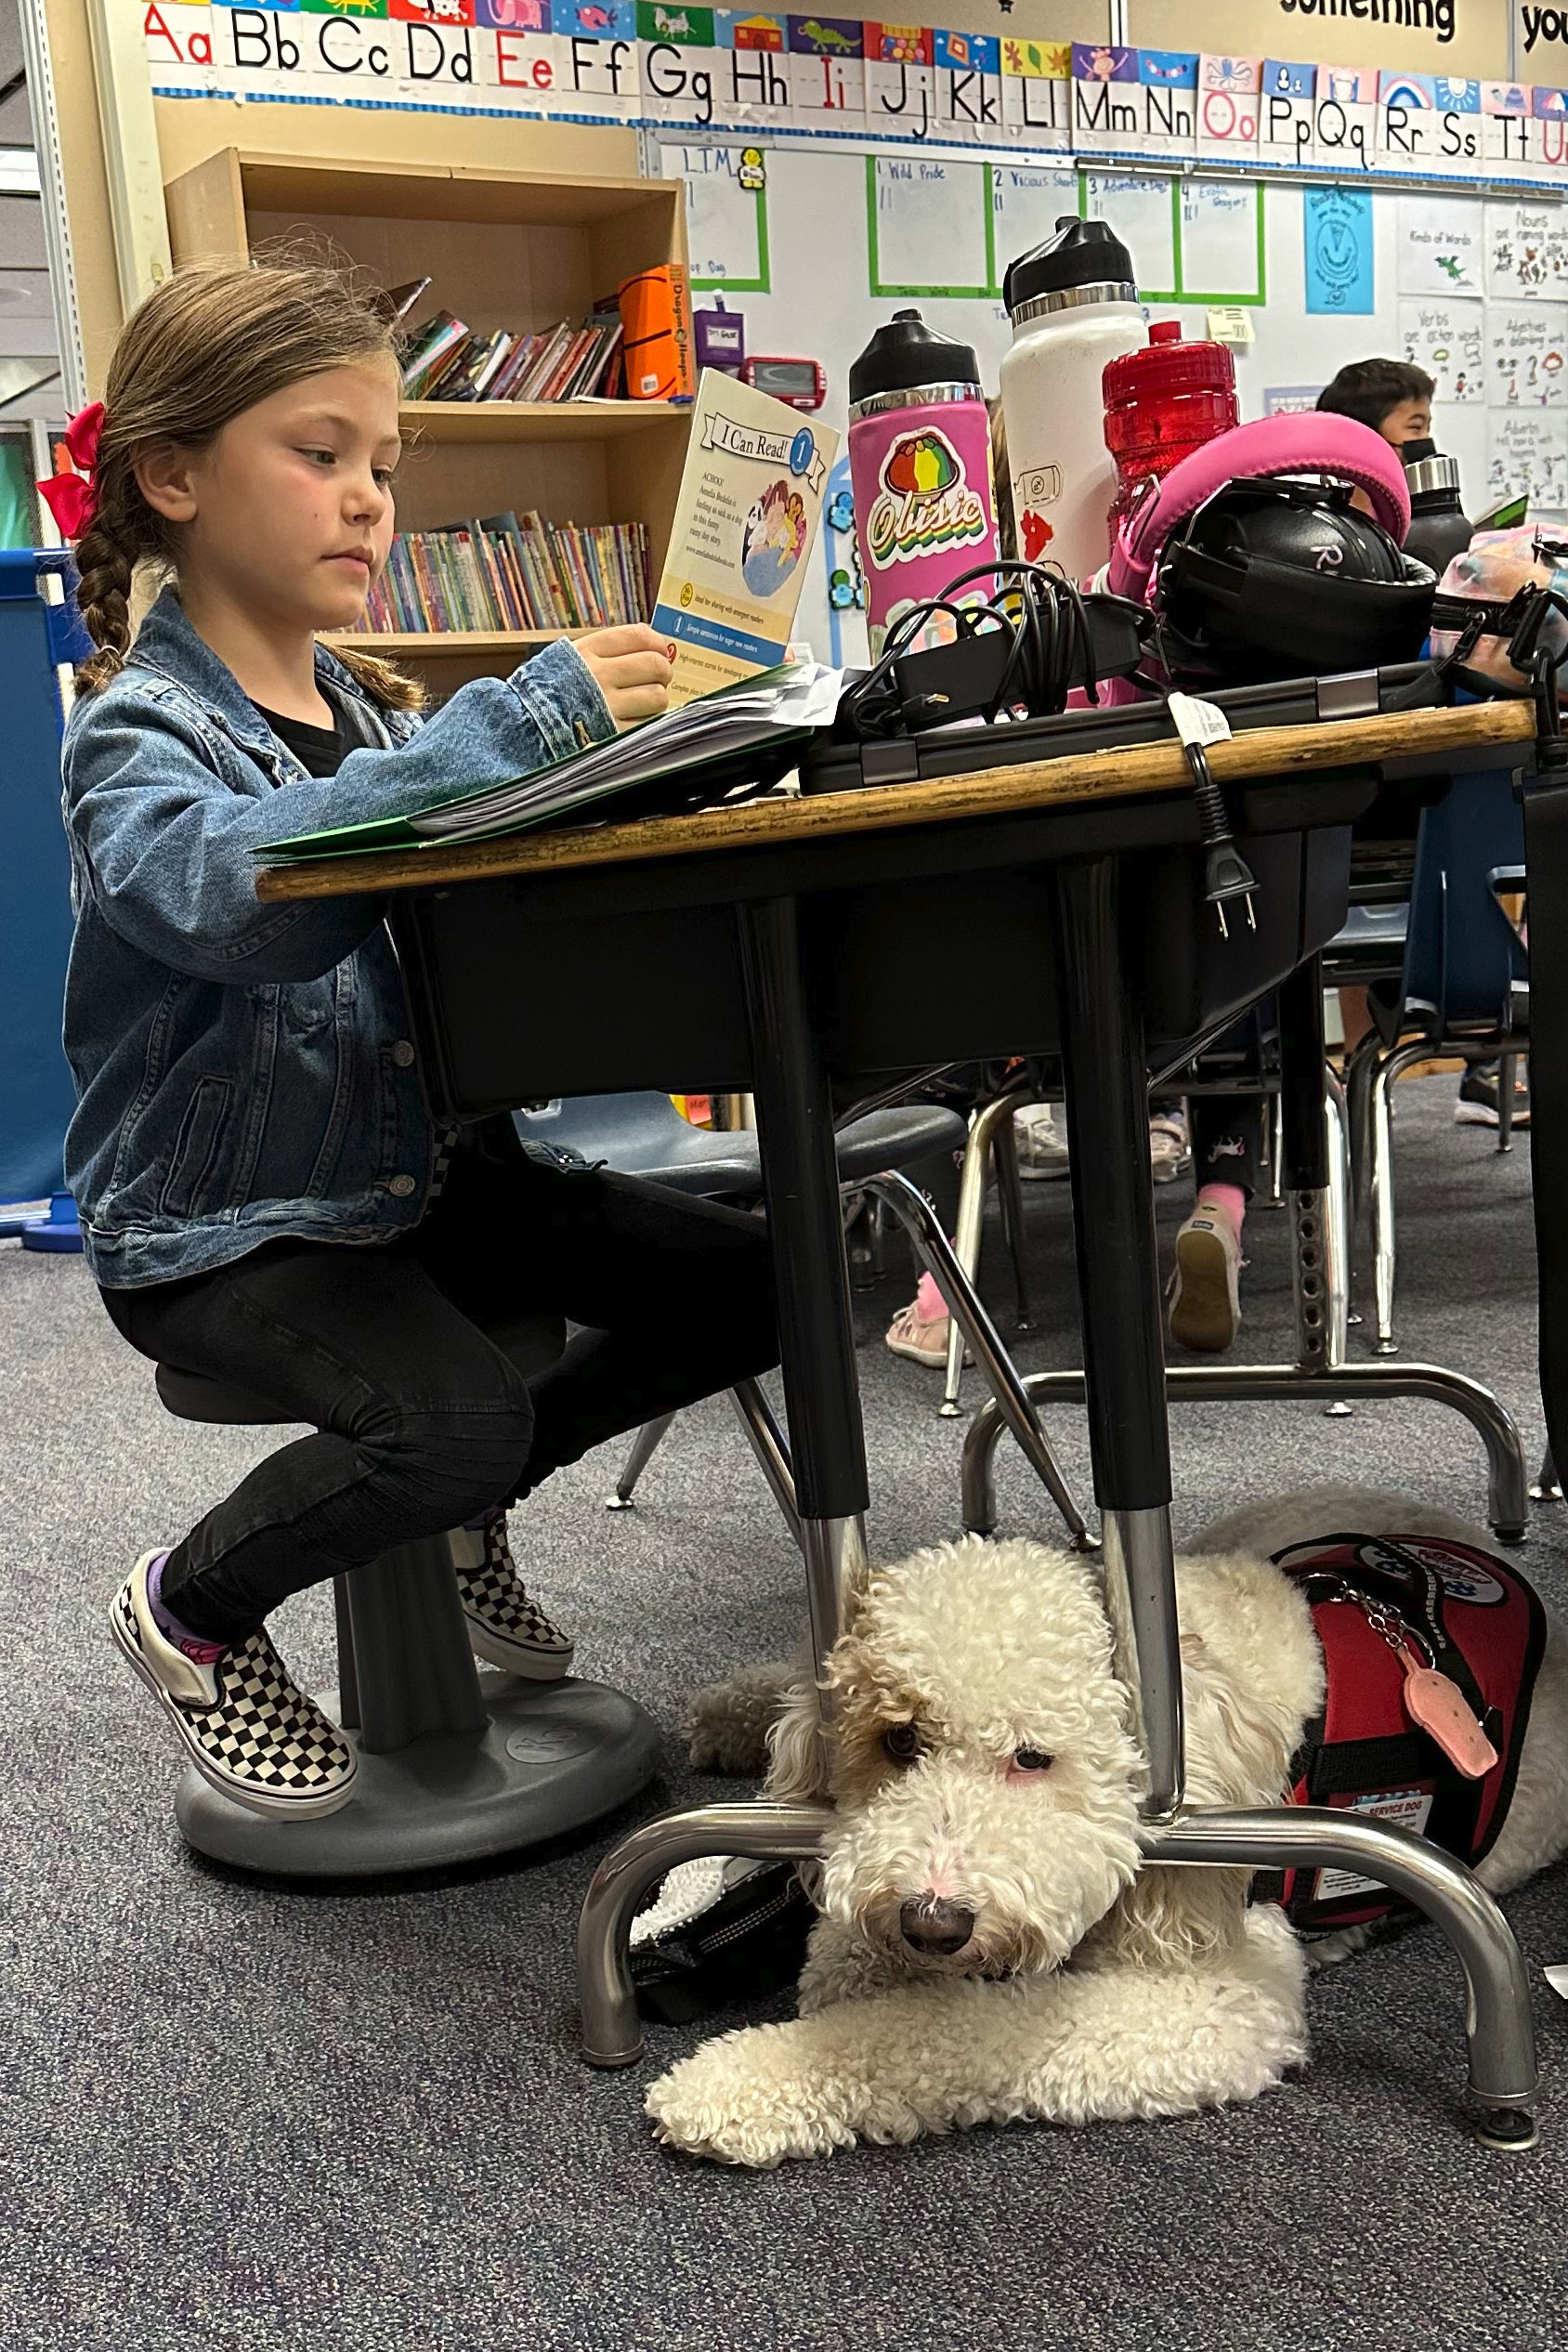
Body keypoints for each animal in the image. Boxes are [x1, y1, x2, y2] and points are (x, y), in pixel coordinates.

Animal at [648, 1486, 1568, 2163]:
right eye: (900, 1740)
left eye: (1034, 1757)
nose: (932, 1923)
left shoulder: (1227, 1993)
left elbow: (942, 2026)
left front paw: (733, 2080)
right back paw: (732, 1711)